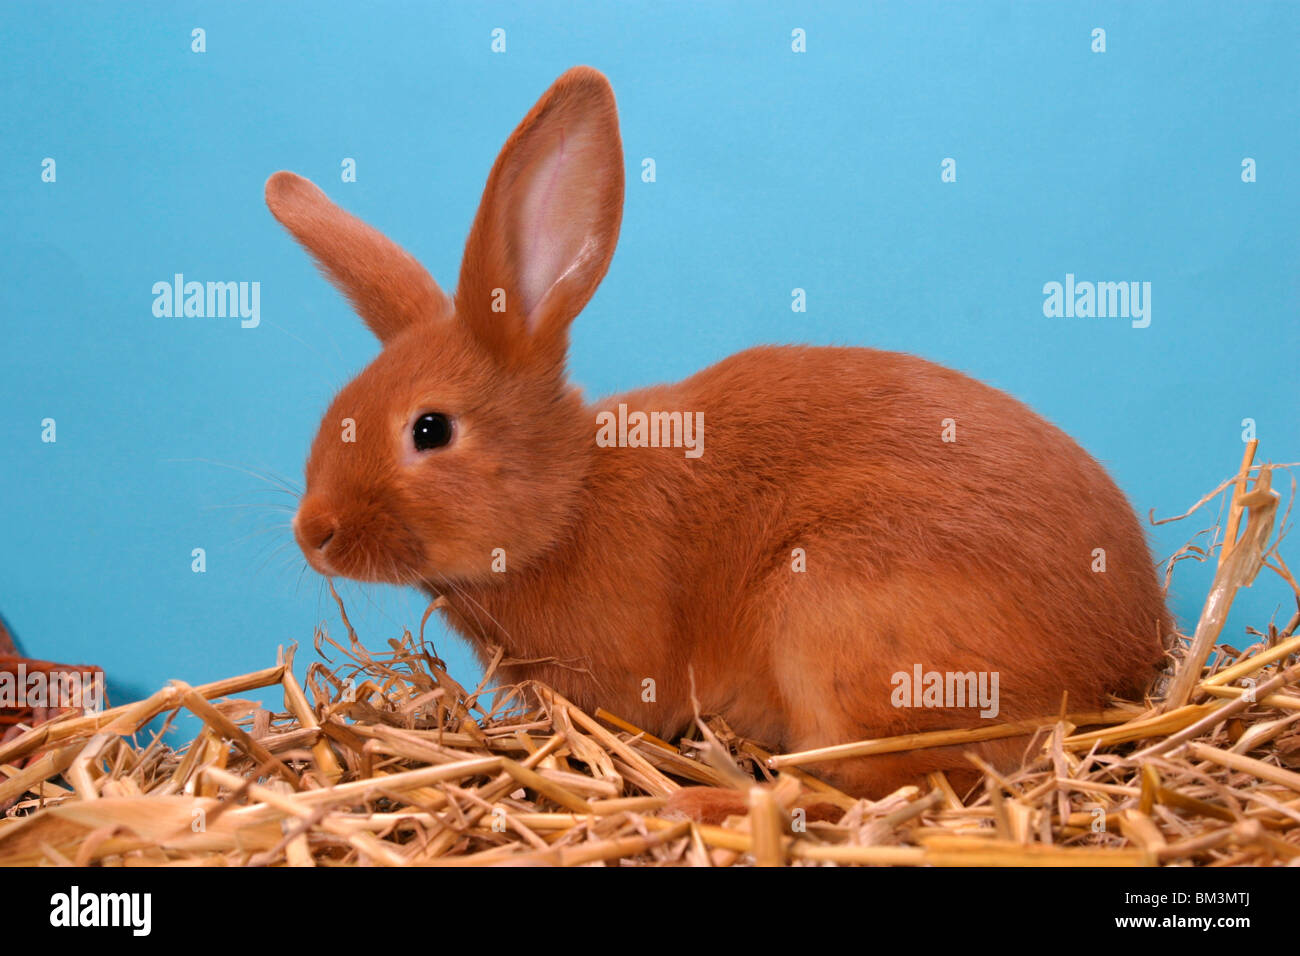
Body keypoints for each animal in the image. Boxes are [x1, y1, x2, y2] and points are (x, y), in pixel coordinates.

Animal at [263, 63, 1170, 806]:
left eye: (429, 429)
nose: (315, 534)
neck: (569, 503)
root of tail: (1128, 656)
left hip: (841, 623)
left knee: (891, 786)